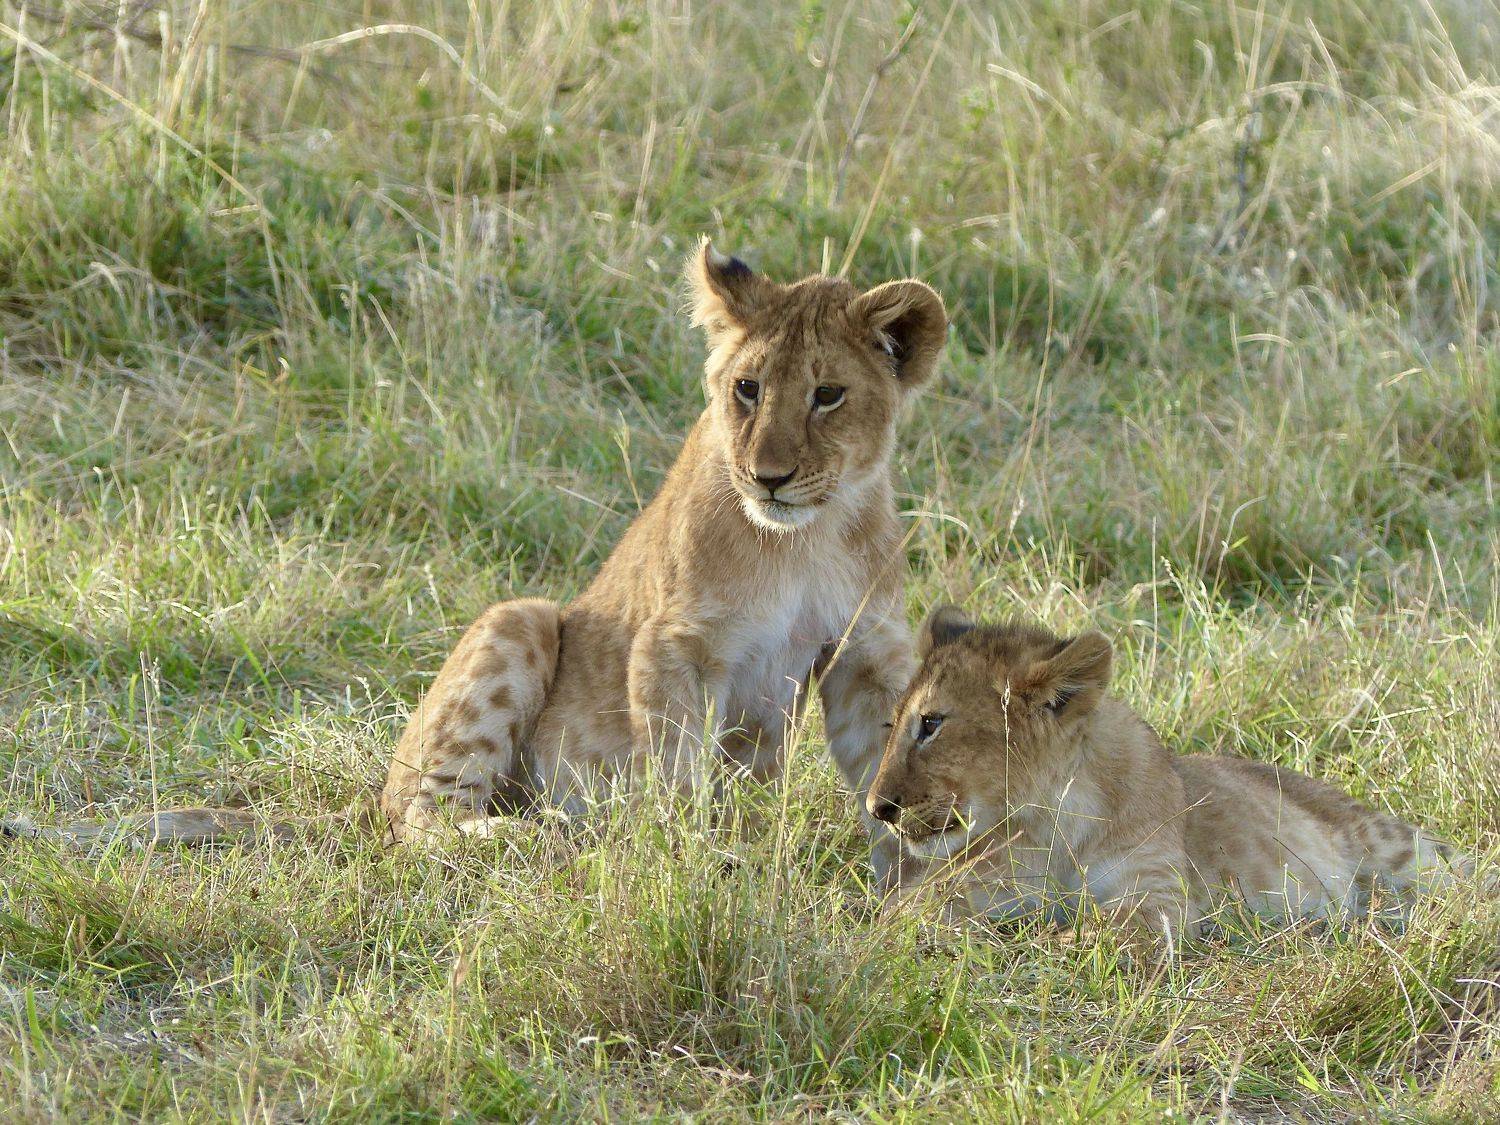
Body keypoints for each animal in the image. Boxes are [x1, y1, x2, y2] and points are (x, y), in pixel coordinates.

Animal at [867, 607, 1472, 943]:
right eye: (893, 724)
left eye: (931, 724)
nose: (877, 809)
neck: (1052, 824)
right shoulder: (971, 884)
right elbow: (912, 914)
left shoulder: (1158, 888)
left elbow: (1116, 930)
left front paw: (1056, 940)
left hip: (1401, 851)